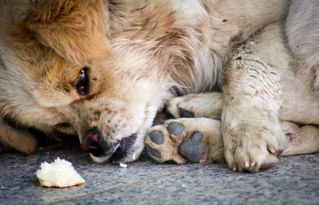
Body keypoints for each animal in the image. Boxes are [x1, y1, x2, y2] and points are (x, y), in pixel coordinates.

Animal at [1, 0, 318, 171]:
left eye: (82, 80)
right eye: (62, 125)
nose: (93, 143)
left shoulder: (281, 21)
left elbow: (241, 61)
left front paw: (248, 132)